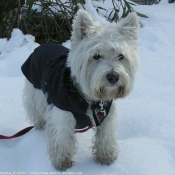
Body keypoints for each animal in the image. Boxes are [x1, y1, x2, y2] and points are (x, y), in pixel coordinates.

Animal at [21, 9, 139, 170]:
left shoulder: (107, 117)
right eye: (96, 56)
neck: (90, 98)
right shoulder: (62, 116)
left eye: (121, 56)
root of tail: (41, 46)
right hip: (35, 89)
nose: (113, 77)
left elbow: (105, 137)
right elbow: (62, 140)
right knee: (35, 109)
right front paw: (62, 163)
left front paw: (105, 157)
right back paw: (40, 124)